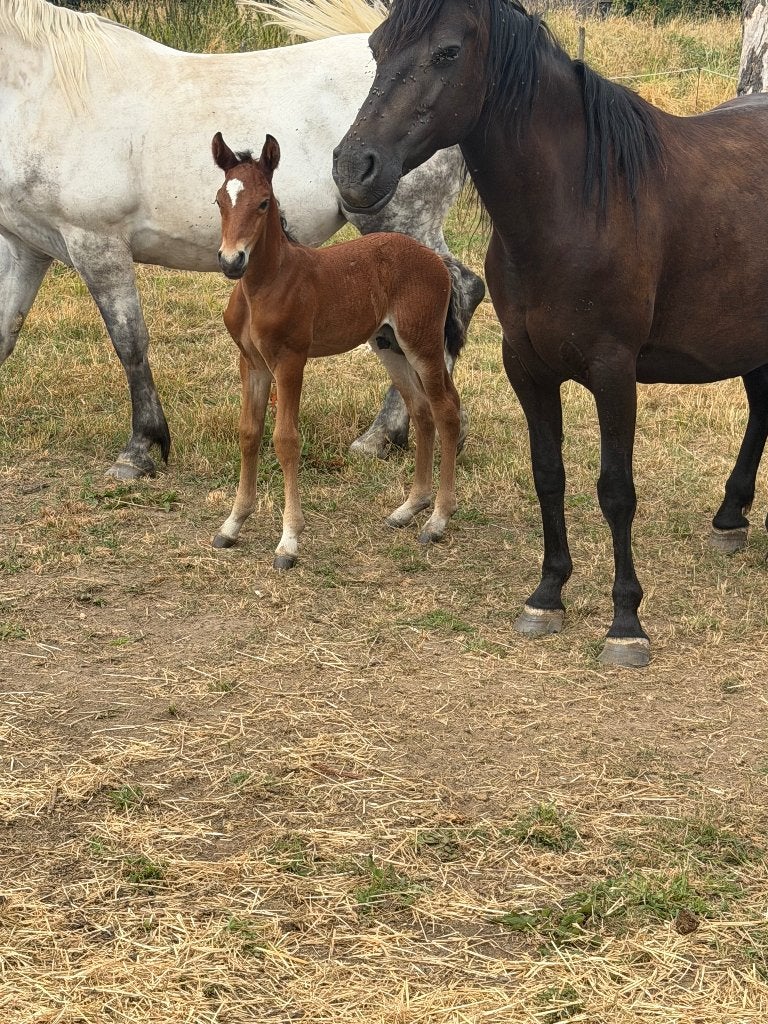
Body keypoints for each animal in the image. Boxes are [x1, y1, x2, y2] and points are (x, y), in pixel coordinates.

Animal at [0, 0, 483, 479]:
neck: (46, 94)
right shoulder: (26, 250)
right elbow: (6, 334)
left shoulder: (97, 245)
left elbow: (130, 344)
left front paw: (140, 450)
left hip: (403, 223)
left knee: (452, 297)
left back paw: (392, 434)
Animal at [211, 132, 462, 569]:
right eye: (219, 201)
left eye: (263, 203)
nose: (231, 261)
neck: (266, 284)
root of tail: (435, 259)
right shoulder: (252, 363)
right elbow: (248, 433)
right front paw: (232, 524)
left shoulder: (291, 360)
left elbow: (286, 440)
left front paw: (289, 541)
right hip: (389, 347)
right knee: (420, 410)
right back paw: (408, 508)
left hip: (422, 343)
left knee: (445, 408)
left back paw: (437, 520)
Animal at [332, 0, 768, 667]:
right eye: (378, 47)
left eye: (448, 52)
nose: (354, 169)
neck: (577, 207)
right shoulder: (527, 366)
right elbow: (548, 474)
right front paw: (547, 595)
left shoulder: (614, 372)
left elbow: (615, 489)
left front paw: (625, 623)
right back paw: (730, 519)